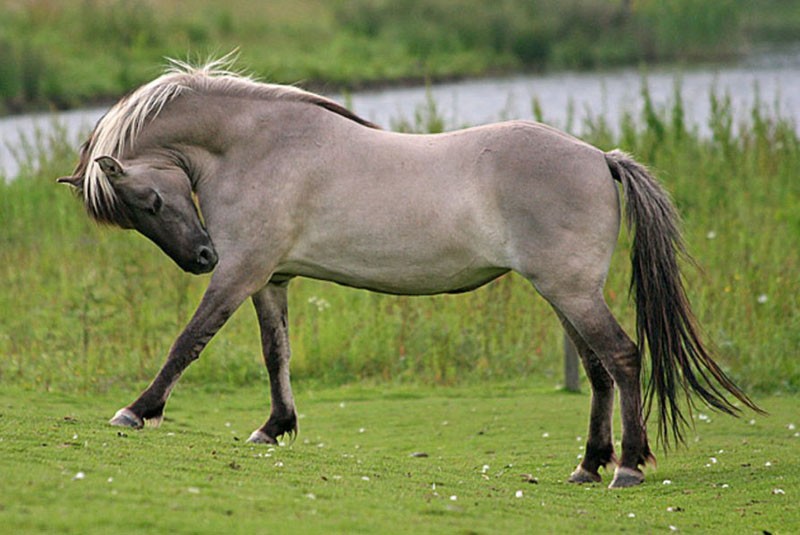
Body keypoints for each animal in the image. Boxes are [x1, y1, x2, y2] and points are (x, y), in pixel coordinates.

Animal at [59, 58, 760, 490]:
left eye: (148, 201)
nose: (199, 257)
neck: (259, 145)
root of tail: (600, 158)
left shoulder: (240, 272)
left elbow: (190, 341)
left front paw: (137, 410)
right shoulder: (270, 280)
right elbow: (274, 353)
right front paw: (275, 427)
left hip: (571, 292)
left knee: (622, 357)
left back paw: (628, 466)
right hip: (564, 295)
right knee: (597, 370)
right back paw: (589, 464)